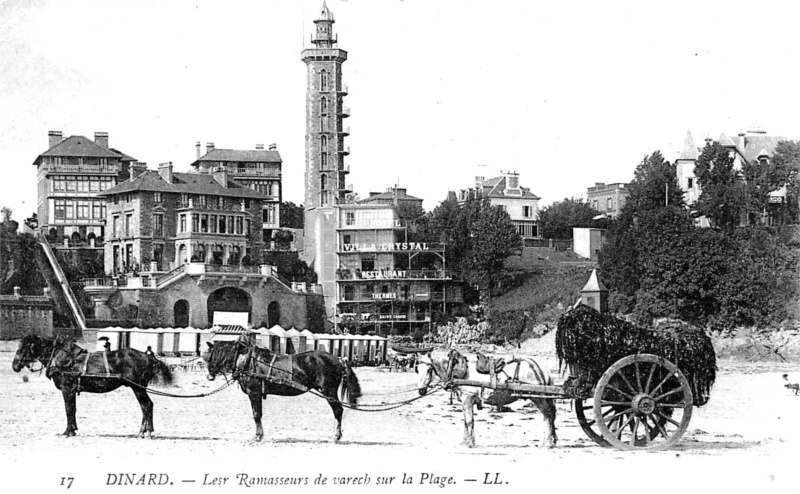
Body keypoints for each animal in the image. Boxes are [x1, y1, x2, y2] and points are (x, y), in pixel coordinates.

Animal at [10, 336, 174, 436]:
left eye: (23, 348)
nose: (15, 365)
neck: (64, 359)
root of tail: (149, 357)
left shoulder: (67, 389)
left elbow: (68, 409)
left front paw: (68, 431)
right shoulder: (71, 390)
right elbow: (73, 409)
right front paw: (73, 429)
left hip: (138, 388)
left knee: (147, 405)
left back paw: (147, 431)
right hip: (138, 388)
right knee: (145, 406)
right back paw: (142, 431)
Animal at [203, 338, 362, 442]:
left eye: (210, 356)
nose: (209, 375)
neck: (247, 361)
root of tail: (339, 360)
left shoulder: (253, 392)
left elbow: (256, 414)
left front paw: (258, 436)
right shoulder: (257, 394)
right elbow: (259, 414)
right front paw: (260, 434)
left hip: (329, 391)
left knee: (338, 411)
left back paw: (336, 436)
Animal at [418, 348, 556, 448]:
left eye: (429, 370)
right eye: (417, 369)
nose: (421, 390)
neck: (458, 371)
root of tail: (542, 369)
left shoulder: (467, 400)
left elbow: (469, 421)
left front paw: (470, 443)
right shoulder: (464, 402)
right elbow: (465, 422)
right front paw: (465, 441)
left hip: (538, 397)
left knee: (547, 415)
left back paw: (547, 442)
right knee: (550, 415)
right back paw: (552, 441)